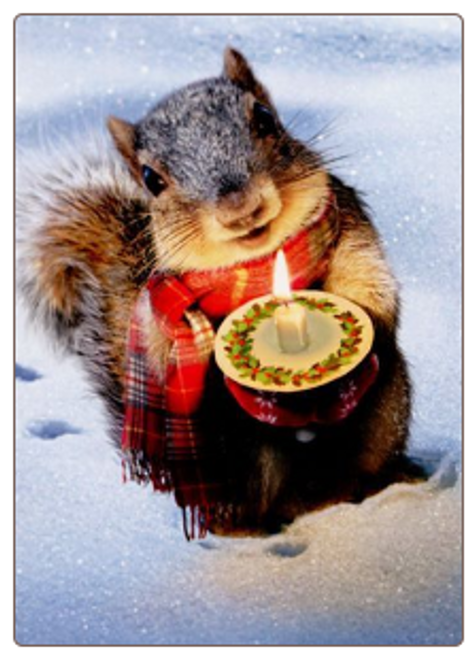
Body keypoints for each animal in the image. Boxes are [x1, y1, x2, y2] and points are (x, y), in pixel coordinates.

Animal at [17, 50, 424, 536]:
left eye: (265, 118)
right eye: (151, 178)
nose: (239, 207)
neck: (260, 265)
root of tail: (312, 495)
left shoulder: (351, 227)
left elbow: (369, 286)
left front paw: (359, 340)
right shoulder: (160, 306)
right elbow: (169, 360)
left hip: (388, 403)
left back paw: (390, 478)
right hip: (232, 461)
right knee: (245, 509)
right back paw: (253, 526)